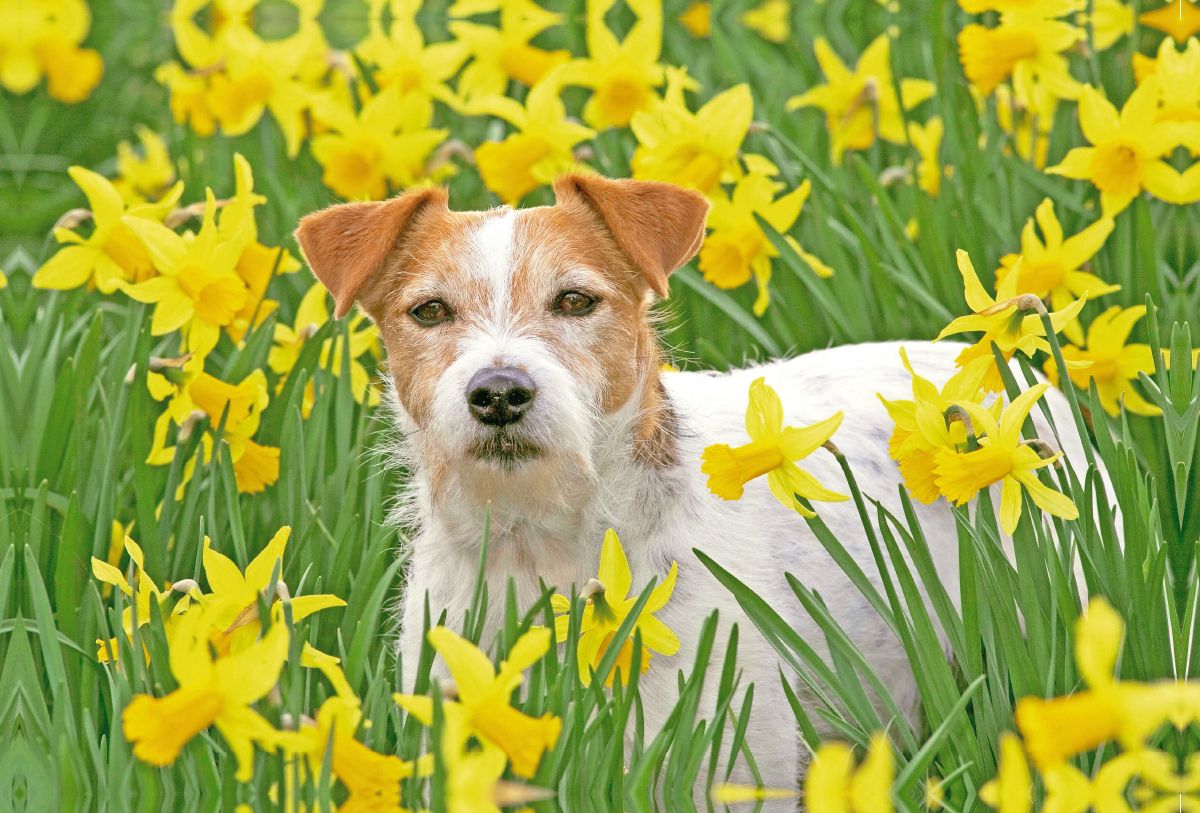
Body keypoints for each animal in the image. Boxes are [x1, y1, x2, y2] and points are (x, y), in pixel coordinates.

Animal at [292, 176, 1099, 791]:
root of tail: (1007, 378)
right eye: (430, 311)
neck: (542, 543)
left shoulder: (725, 756)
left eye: (575, 300)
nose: (498, 394)